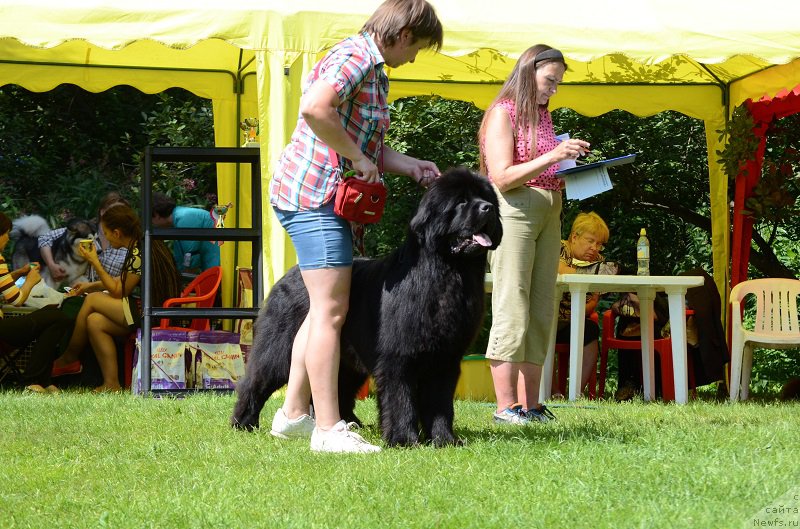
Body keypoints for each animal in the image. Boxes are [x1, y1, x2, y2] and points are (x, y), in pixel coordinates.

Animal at [231, 168, 504, 446]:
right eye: (461, 201)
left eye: (485, 197)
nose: (488, 208)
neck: (447, 273)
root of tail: (290, 274)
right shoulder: (398, 356)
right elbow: (401, 399)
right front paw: (404, 439)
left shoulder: (446, 358)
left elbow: (440, 403)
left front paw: (444, 440)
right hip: (280, 346)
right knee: (255, 381)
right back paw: (243, 423)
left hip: (347, 359)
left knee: (338, 388)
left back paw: (350, 424)